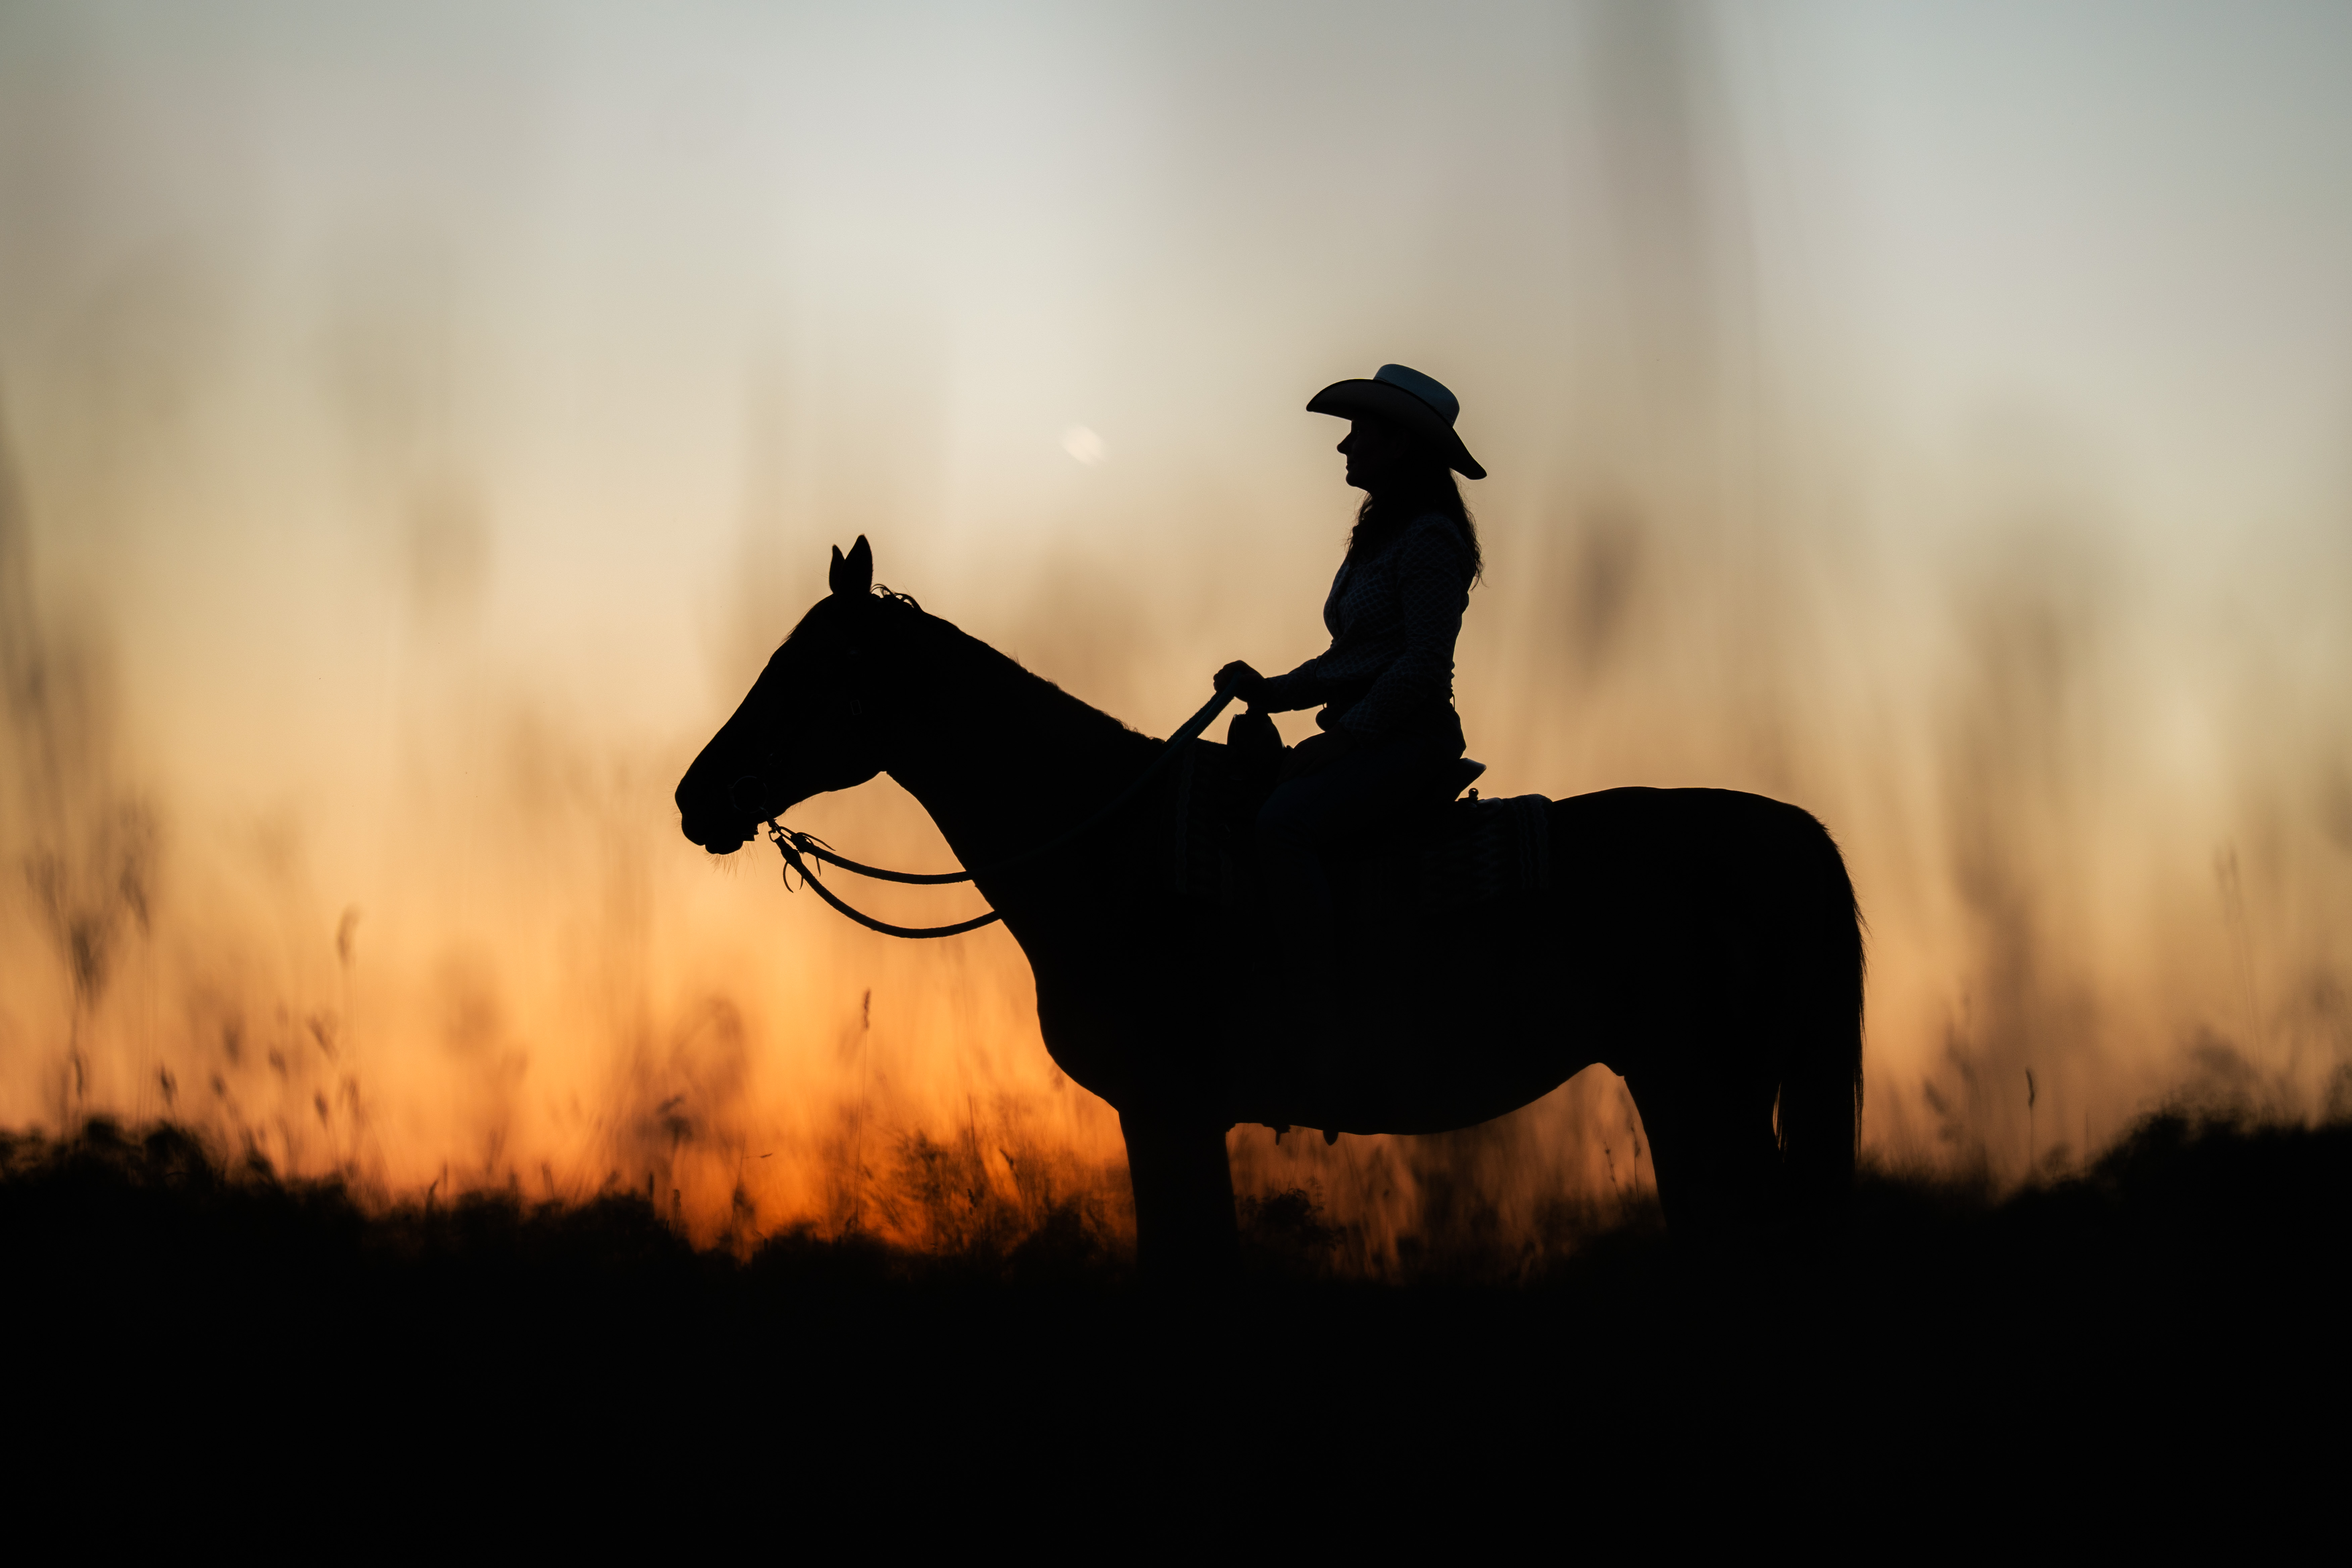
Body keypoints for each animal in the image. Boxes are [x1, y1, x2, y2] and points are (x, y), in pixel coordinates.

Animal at [676, 536, 1864, 1276]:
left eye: (805, 670)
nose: (698, 797)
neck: (1113, 846)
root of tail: (1792, 833)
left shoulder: (1169, 1110)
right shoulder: (1169, 1117)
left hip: (1700, 1092)